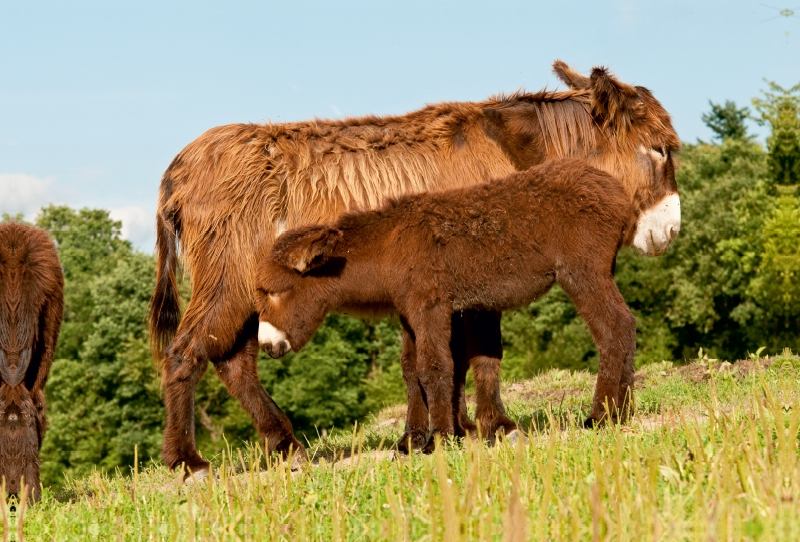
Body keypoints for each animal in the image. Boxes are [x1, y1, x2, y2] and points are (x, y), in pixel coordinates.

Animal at [258, 159, 644, 448]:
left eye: (275, 291)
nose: (266, 345)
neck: (388, 248)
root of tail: (614, 188)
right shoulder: (410, 312)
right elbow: (412, 369)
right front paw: (416, 439)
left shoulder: (429, 305)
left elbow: (435, 366)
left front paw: (440, 438)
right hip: (599, 270)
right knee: (626, 324)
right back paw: (623, 411)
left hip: (582, 271)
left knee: (614, 326)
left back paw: (601, 415)